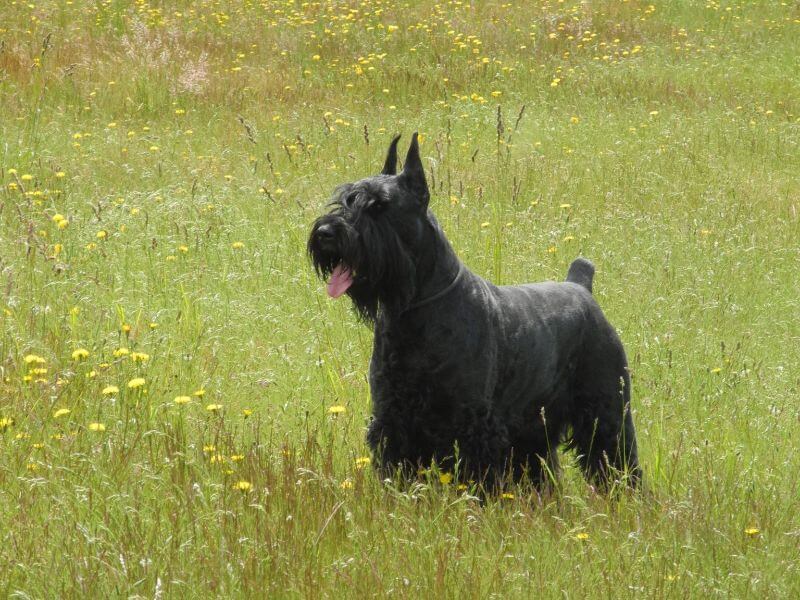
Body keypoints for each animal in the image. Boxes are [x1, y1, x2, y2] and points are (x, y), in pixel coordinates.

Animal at [310, 134, 640, 490]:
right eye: (346, 199)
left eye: (379, 206)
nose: (326, 232)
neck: (416, 312)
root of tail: (580, 286)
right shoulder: (393, 418)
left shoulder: (472, 424)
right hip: (534, 428)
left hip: (607, 412)